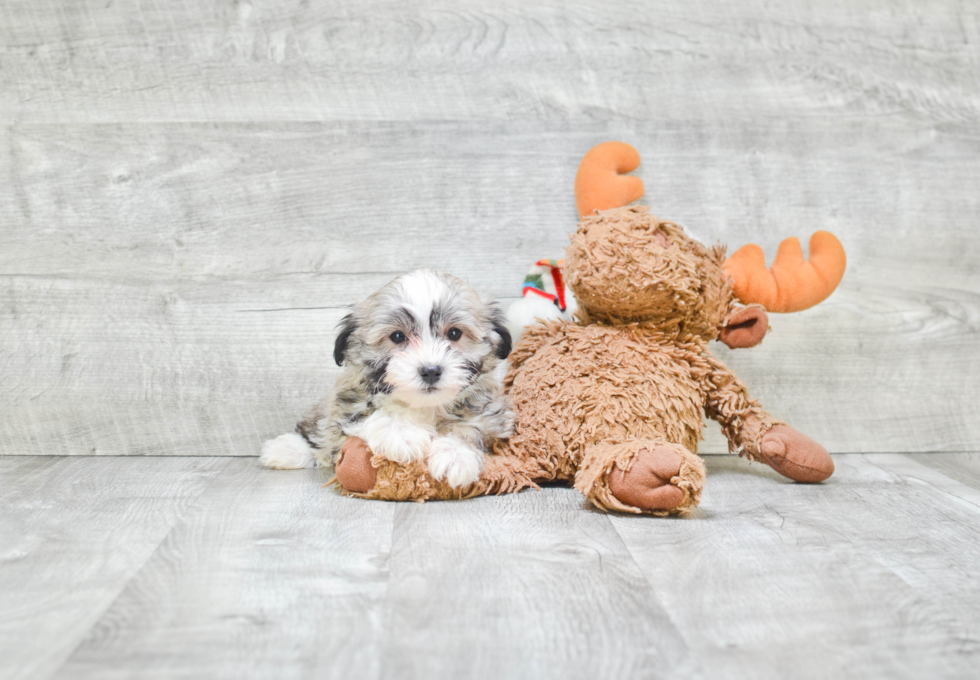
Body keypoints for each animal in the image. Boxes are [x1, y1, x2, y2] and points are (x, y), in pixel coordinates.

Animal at [260, 268, 520, 486]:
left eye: (454, 333)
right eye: (397, 337)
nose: (431, 370)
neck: (425, 406)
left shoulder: (492, 415)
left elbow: (470, 427)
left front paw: (455, 455)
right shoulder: (347, 405)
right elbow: (370, 416)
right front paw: (403, 434)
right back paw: (285, 449)